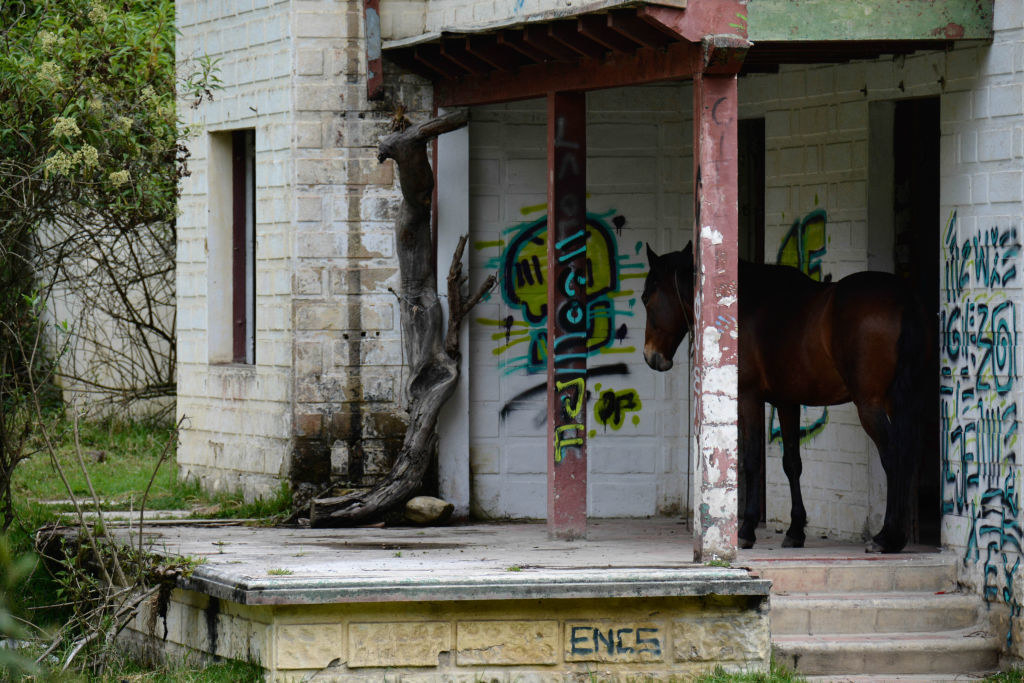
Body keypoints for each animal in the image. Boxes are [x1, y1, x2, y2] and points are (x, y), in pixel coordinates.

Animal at [643, 242, 933, 552]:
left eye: (646, 298)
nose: (651, 357)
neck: (740, 303)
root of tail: (903, 300)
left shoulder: (748, 397)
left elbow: (751, 460)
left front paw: (746, 529)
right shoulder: (787, 402)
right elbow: (792, 463)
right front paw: (795, 530)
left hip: (871, 405)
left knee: (893, 456)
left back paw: (888, 536)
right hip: (908, 404)